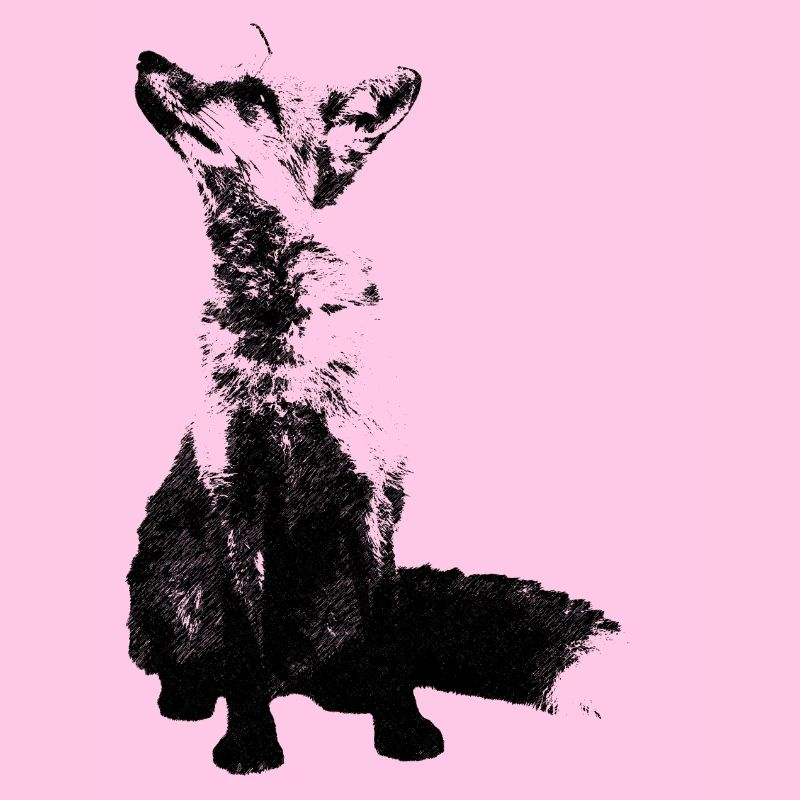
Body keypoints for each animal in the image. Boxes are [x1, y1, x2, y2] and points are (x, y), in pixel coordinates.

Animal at [128, 27, 620, 775]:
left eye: (253, 95)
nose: (146, 58)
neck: (286, 362)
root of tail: (297, 674)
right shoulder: (234, 494)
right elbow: (243, 645)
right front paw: (250, 741)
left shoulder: (369, 495)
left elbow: (390, 639)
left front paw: (403, 730)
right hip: (169, 586)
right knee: (192, 660)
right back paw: (191, 695)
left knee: (343, 660)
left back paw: (343, 694)